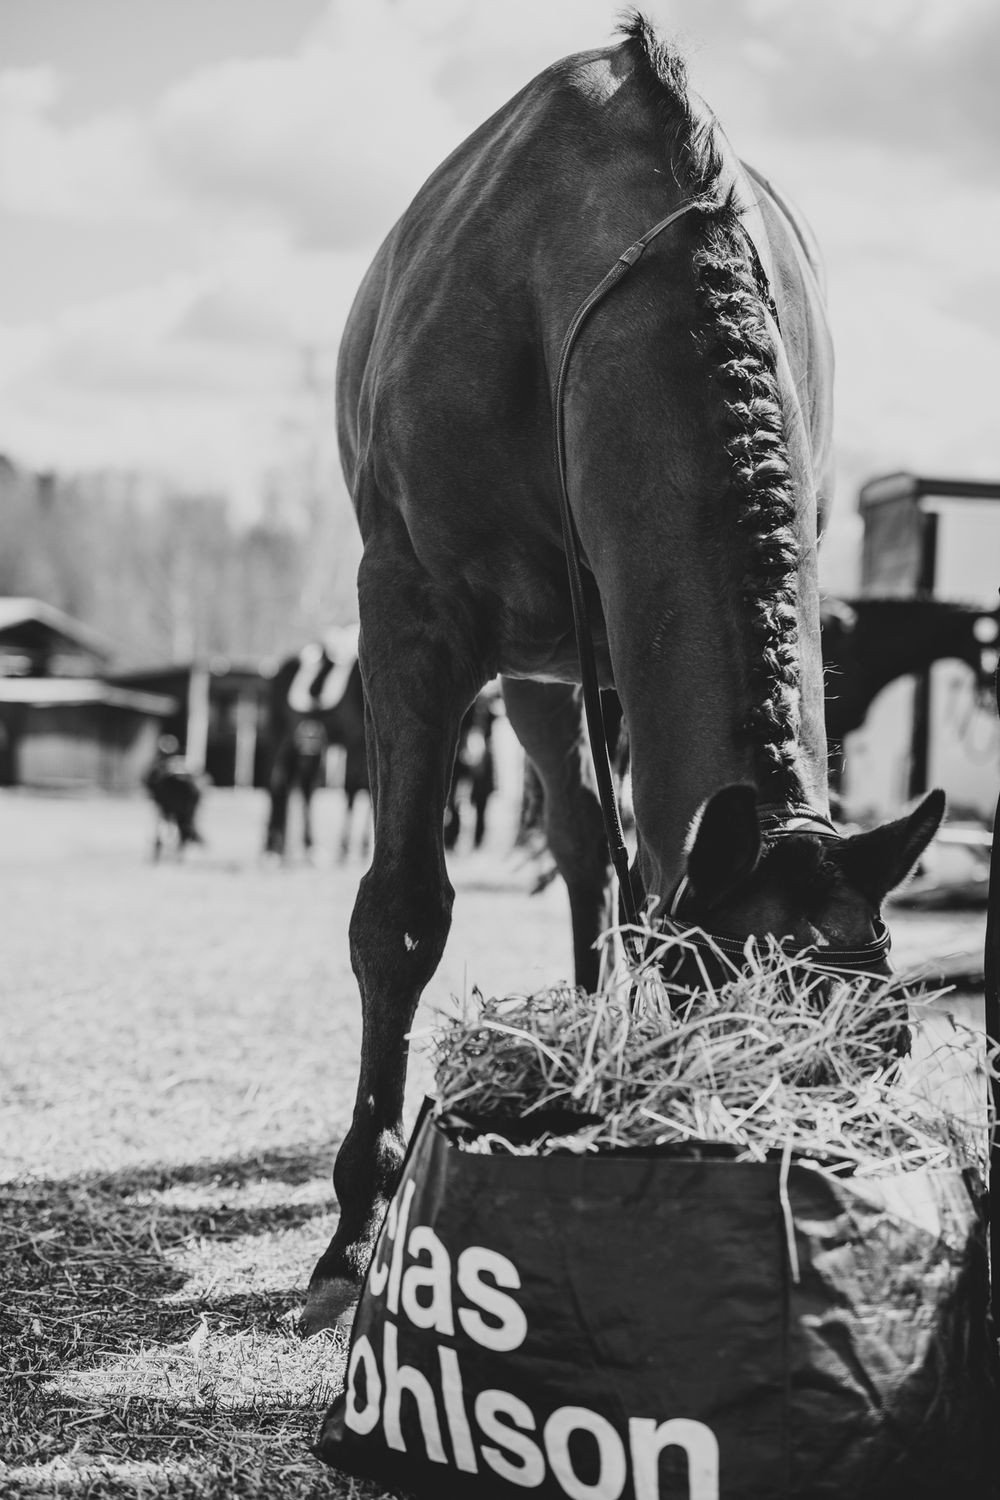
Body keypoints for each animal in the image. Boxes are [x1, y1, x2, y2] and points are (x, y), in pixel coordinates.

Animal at [263, 626, 369, 861]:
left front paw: (364, 847)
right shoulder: (354, 744)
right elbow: (352, 788)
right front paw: (345, 848)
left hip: (308, 746)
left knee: (304, 787)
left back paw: (305, 847)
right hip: (281, 741)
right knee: (278, 785)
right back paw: (273, 848)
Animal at [301, 14, 945, 1333]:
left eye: (886, 1048)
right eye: (721, 1036)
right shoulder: (412, 608)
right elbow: (400, 914)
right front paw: (355, 1219)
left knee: (602, 850)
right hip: (538, 669)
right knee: (578, 839)